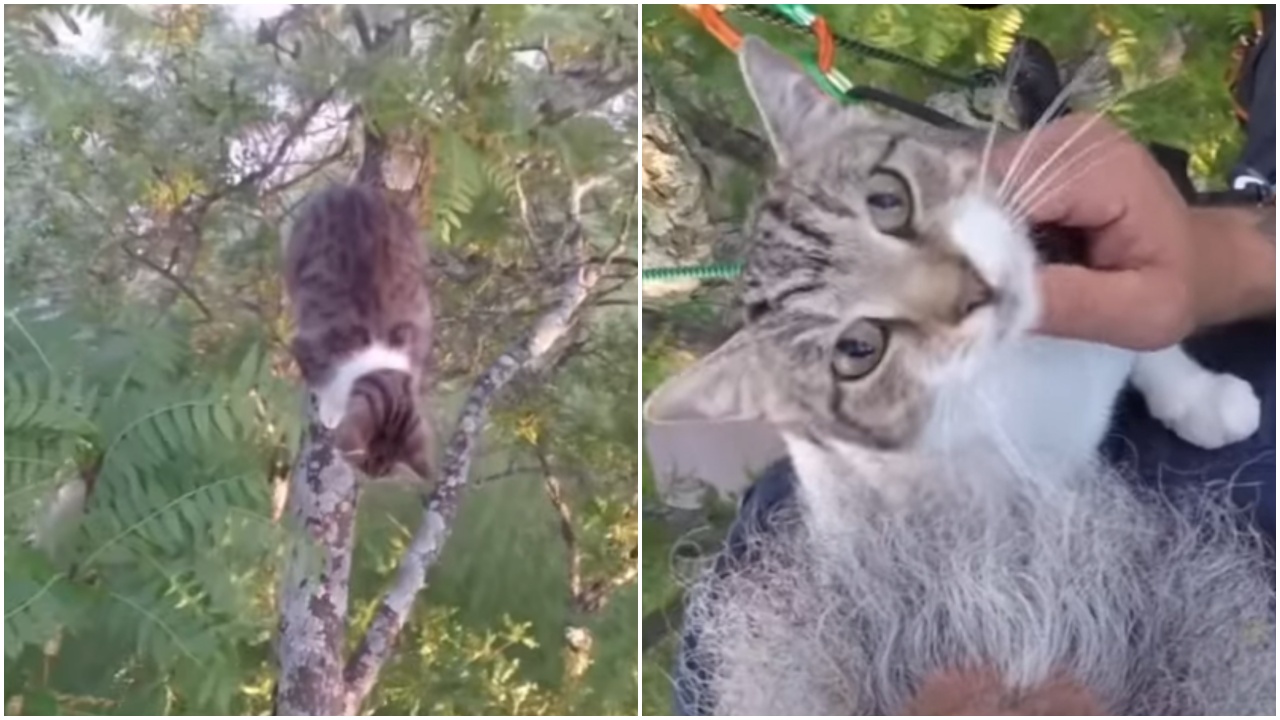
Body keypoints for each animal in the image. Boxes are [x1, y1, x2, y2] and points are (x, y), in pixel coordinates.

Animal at [284, 181, 435, 479]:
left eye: (384, 471)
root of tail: (356, 189)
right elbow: (321, 386)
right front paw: (330, 413)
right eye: (365, 465)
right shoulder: (306, 348)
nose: (371, 476)